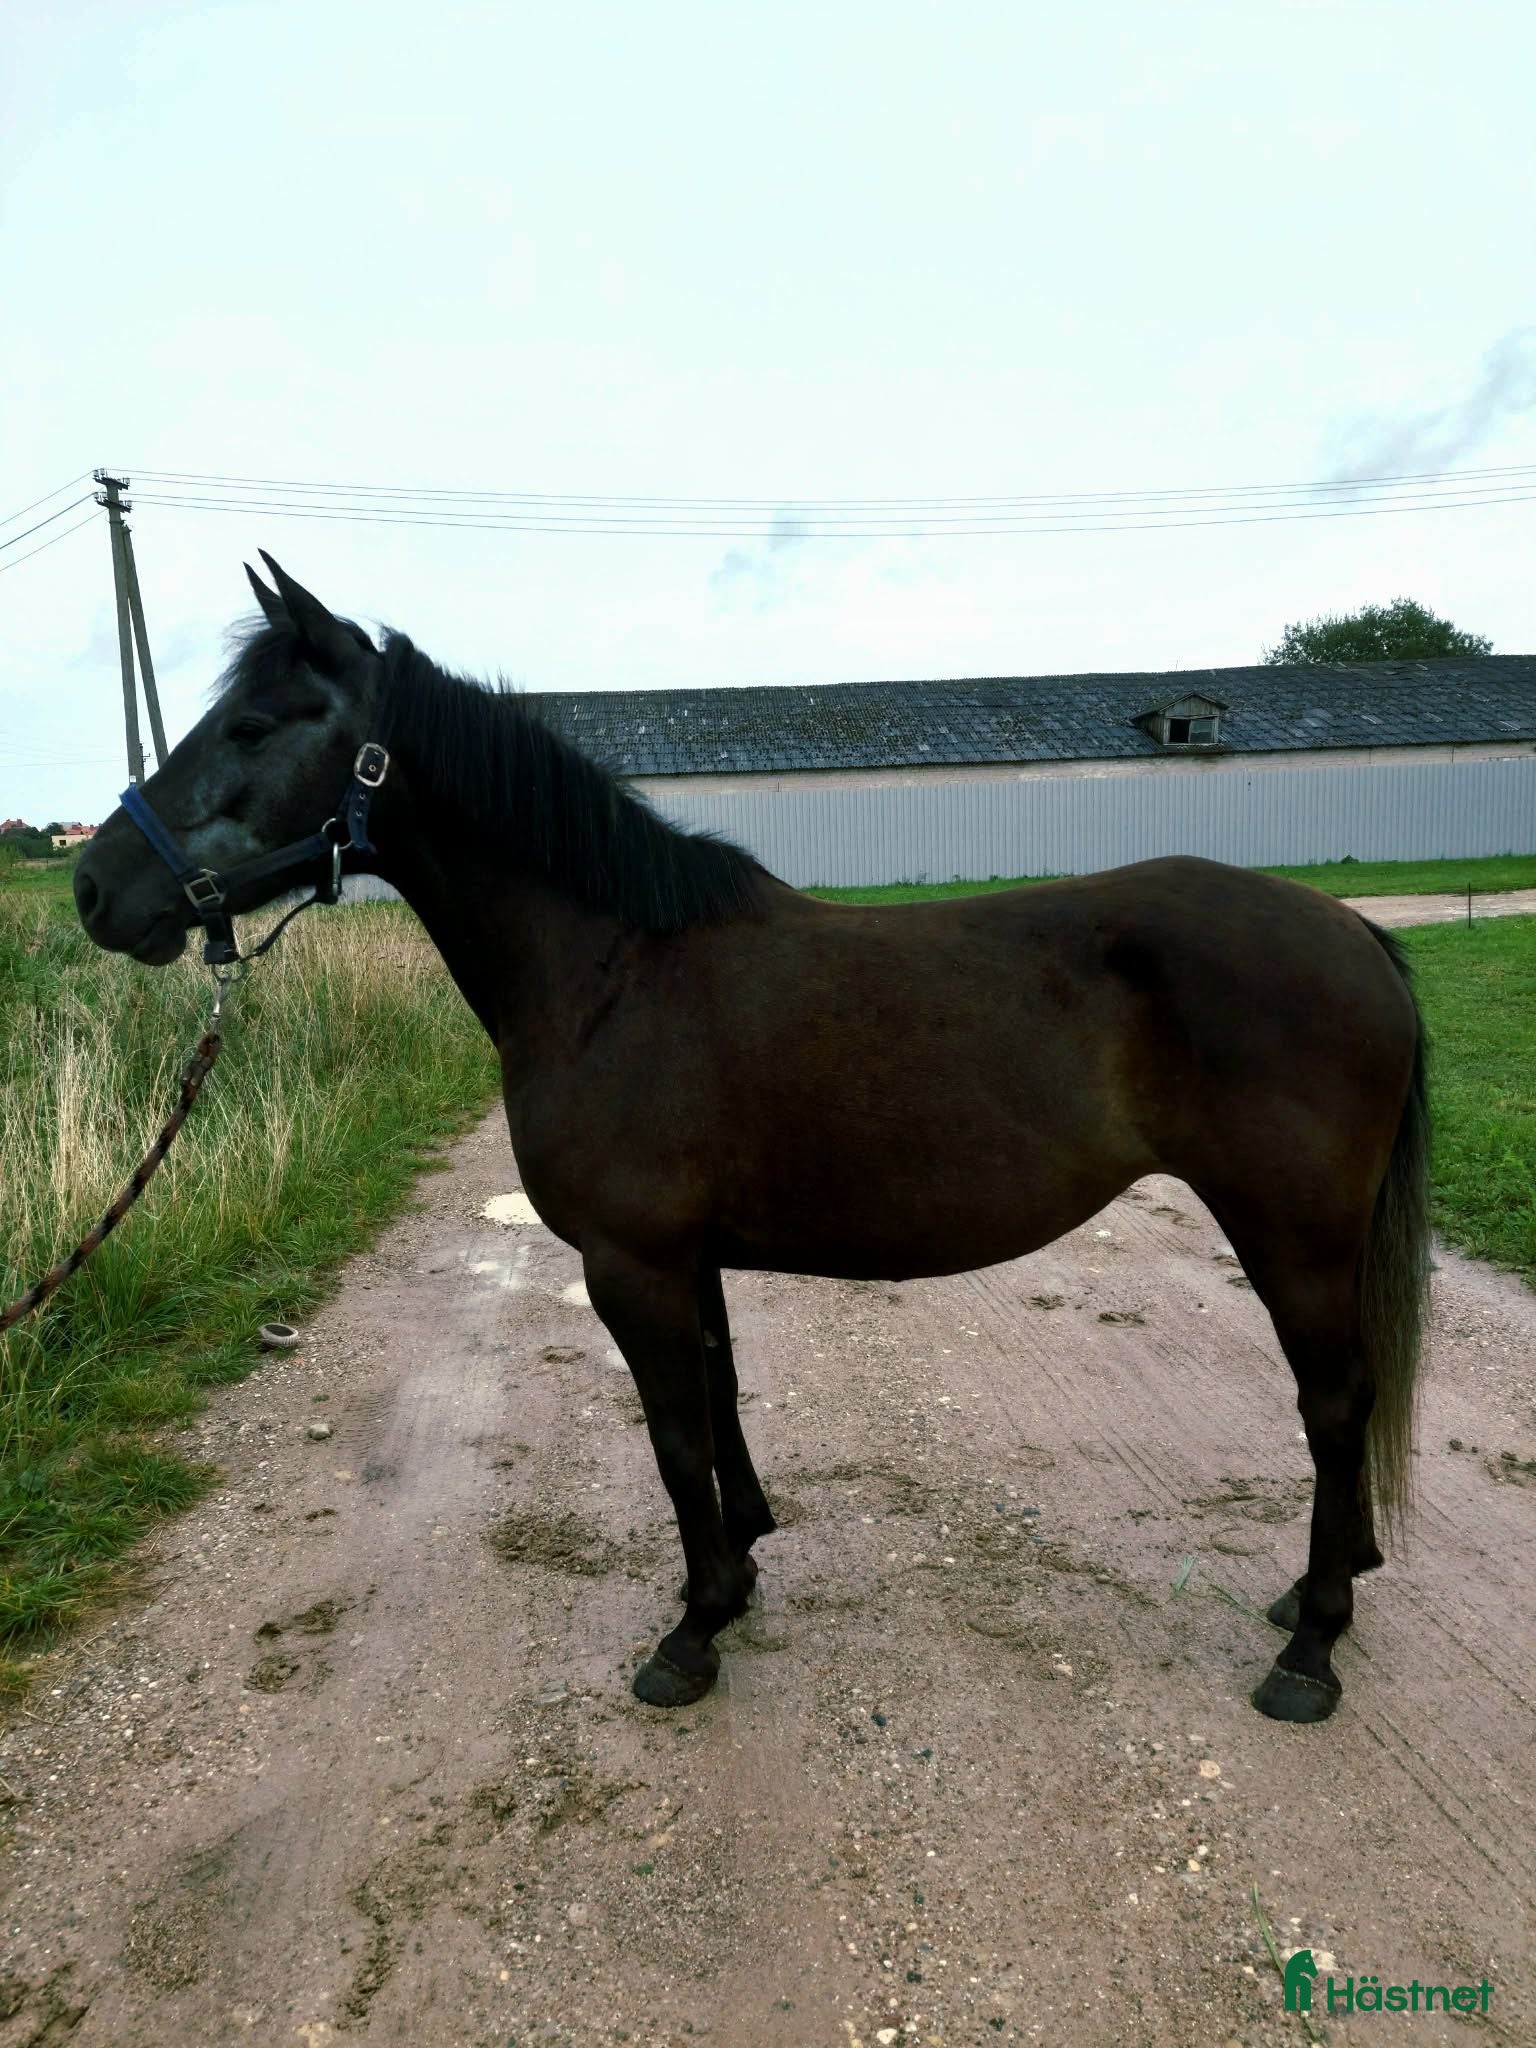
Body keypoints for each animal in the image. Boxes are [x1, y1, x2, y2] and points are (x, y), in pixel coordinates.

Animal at [74, 554, 1430, 1724]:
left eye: (256, 725)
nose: (94, 889)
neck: (612, 969)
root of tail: (1355, 934)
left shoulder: (629, 1262)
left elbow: (675, 1439)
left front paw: (694, 1626)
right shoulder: (690, 1258)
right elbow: (720, 1401)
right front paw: (746, 1564)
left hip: (1293, 1233)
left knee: (1333, 1402)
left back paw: (1311, 1645)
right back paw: (1316, 1594)